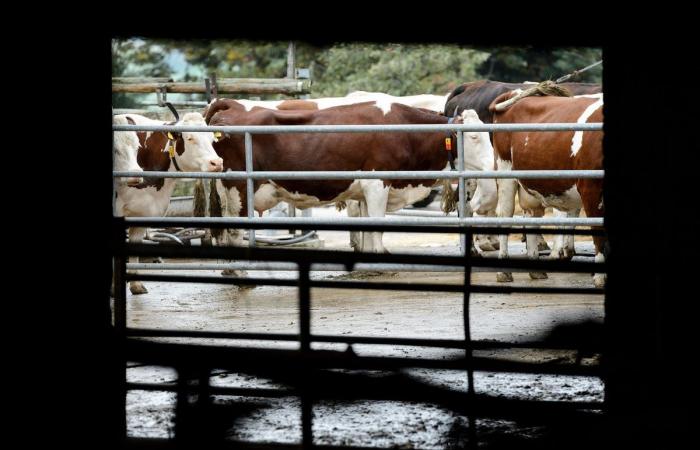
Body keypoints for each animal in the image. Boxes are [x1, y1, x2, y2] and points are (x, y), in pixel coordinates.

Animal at [200, 100, 486, 255]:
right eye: (473, 136)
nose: (490, 166)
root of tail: (234, 104)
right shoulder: (378, 183)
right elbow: (378, 224)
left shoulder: (365, 191)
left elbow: (367, 226)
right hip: (237, 189)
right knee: (234, 231)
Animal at [484, 92, 604, 286]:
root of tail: (515, 94)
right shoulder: (591, 189)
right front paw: (600, 277)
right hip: (505, 173)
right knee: (505, 216)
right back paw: (503, 271)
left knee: (531, 216)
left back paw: (536, 270)